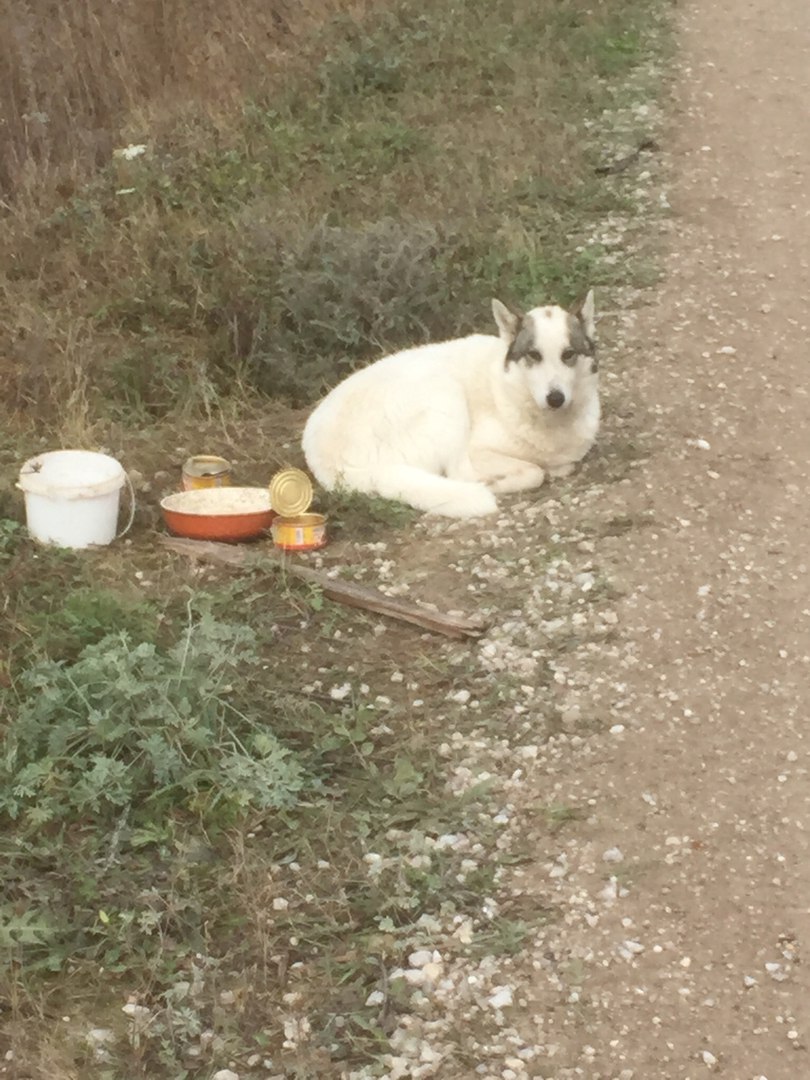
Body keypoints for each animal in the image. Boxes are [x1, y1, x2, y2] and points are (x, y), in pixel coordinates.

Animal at [302, 293, 600, 516]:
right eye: (534, 355)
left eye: (568, 354)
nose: (555, 399)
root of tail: (327, 459)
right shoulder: (477, 450)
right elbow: (535, 471)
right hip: (445, 395)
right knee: (459, 473)